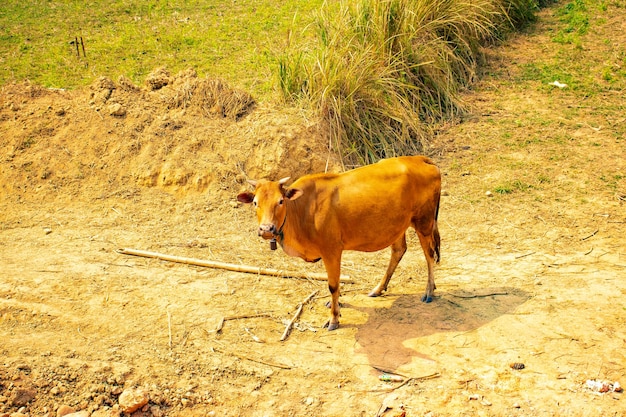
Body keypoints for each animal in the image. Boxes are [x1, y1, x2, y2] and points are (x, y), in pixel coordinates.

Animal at [236, 154, 442, 330]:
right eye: (255, 202)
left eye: (280, 201)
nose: (266, 229)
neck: (302, 209)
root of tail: (420, 159)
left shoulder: (331, 249)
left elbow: (333, 285)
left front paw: (334, 318)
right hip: (398, 225)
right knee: (399, 250)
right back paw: (378, 288)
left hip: (424, 222)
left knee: (430, 254)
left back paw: (429, 291)